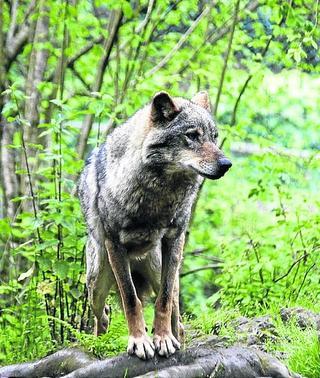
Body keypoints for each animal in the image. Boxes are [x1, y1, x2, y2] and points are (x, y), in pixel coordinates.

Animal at [77, 91, 232, 360]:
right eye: (192, 136)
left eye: (214, 137)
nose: (226, 164)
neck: (159, 196)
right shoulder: (114, 243)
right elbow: (131, 300)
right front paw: (139, 341)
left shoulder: (175, 238)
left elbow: (163, 301)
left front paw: (163, 339)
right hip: (96, 283)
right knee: (103, 315)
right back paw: (99, 349)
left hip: (163, 272)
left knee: (177, 316)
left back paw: (176, 340)